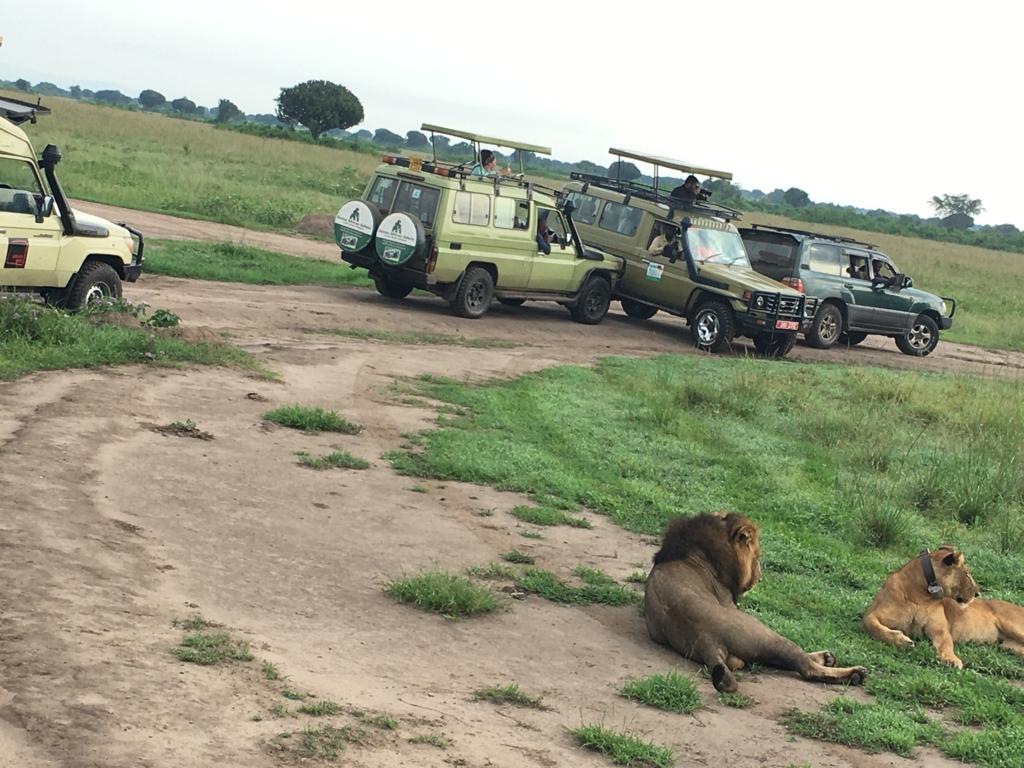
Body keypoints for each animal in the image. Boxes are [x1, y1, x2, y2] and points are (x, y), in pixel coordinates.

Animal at [643, 514, 868, 696]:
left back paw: (829, 659)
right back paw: (854, 673)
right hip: (765, 635)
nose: (760, 577)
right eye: (757, 557)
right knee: (805, 666)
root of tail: (704, 637)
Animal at [864, 548, 1024, 667]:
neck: (920, 595)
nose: (978, 593)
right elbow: (872, 626)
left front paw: (951, 659)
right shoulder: (872, 614)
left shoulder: (939, 628)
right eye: (967, 573)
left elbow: (946, 643)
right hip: (1008, 646)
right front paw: (903, 641)